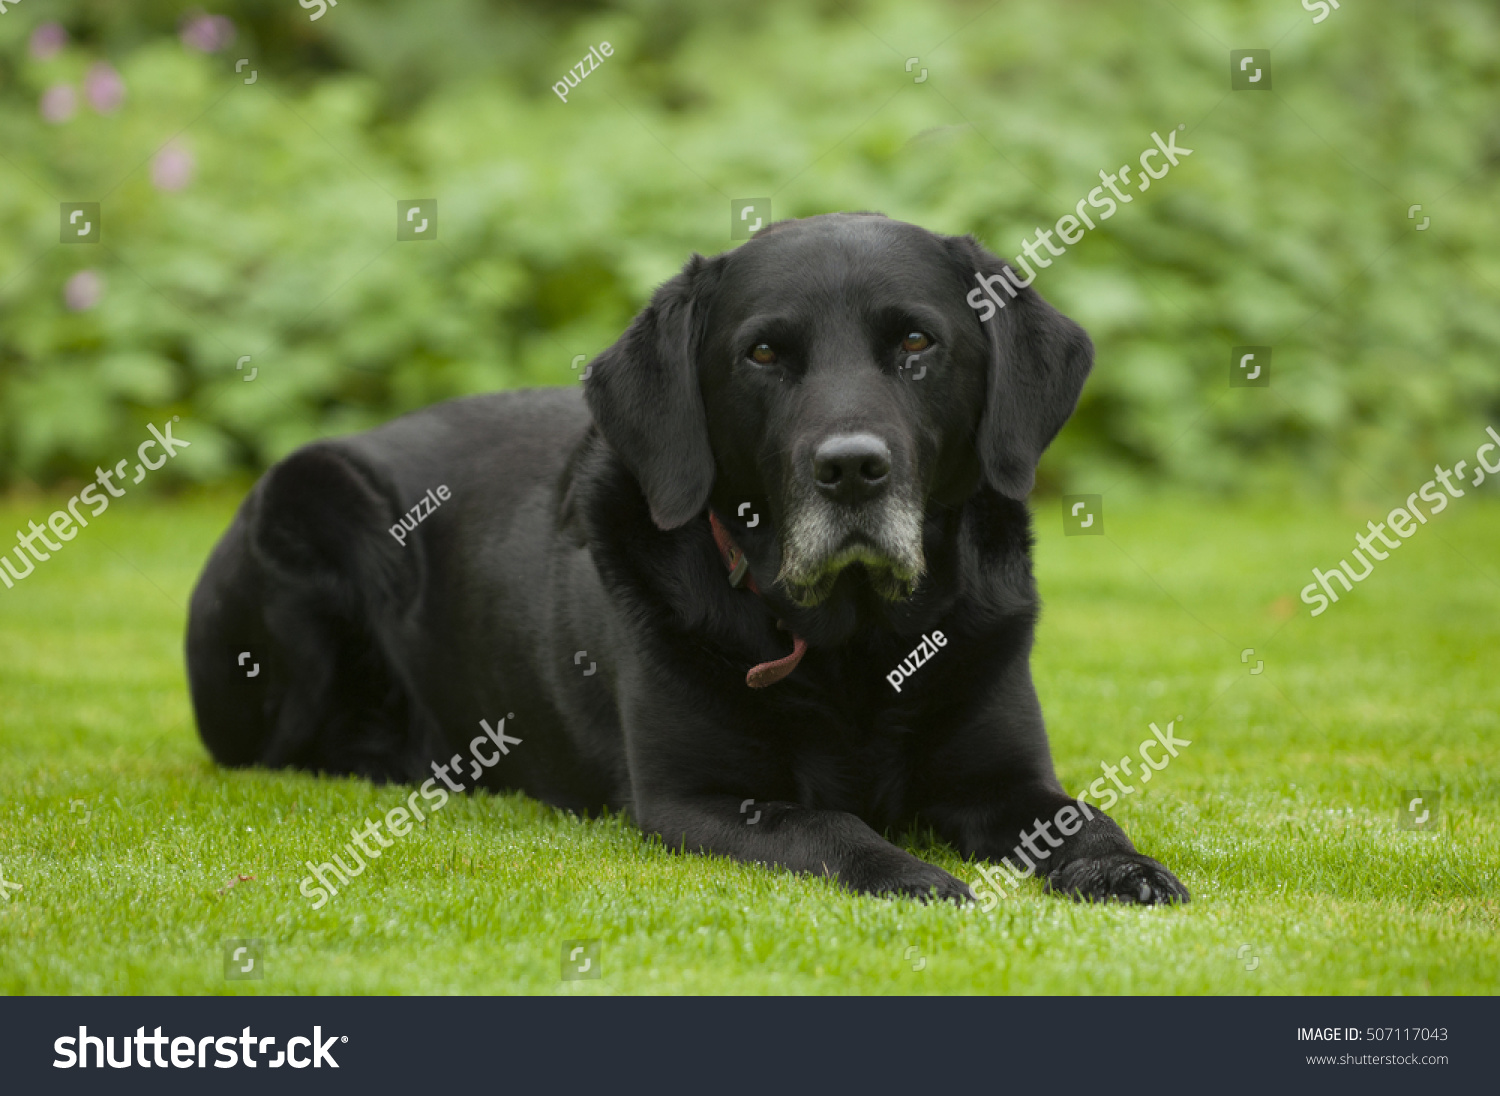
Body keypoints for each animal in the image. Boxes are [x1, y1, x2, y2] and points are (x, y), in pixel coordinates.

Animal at [187, 209, 1188, 905]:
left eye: (916, 342)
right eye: (764, 353)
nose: (851, 469)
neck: (856, 644)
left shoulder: (1007, 775)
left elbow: (1082, 817)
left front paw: (1122, 868)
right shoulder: (694, 798)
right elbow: (829, 823)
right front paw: (912, 874)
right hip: (311, 495)